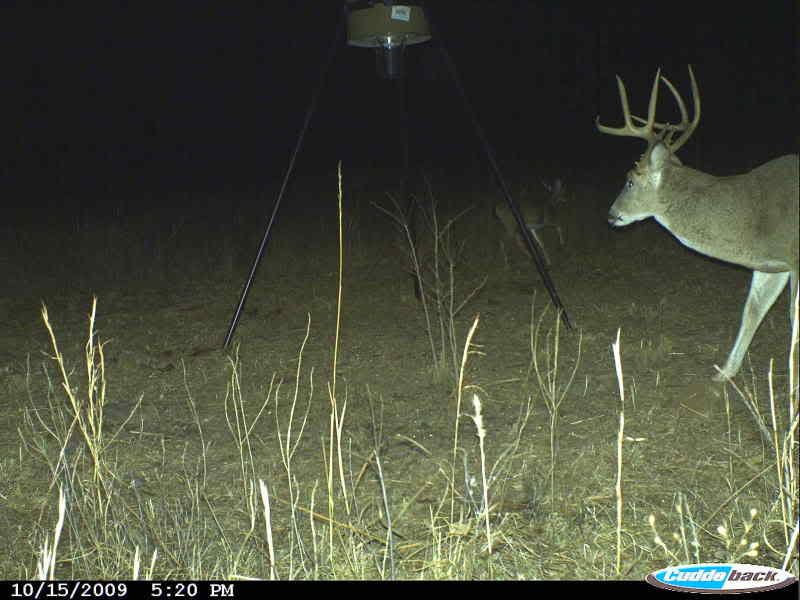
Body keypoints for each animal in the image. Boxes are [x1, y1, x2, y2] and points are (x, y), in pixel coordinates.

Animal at [596, 66, 798, 381]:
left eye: (629, 181)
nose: (611, 214)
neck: (755, 218)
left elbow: (792, 318)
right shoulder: (773, 264)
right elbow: (752, 311)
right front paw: (724, 373)